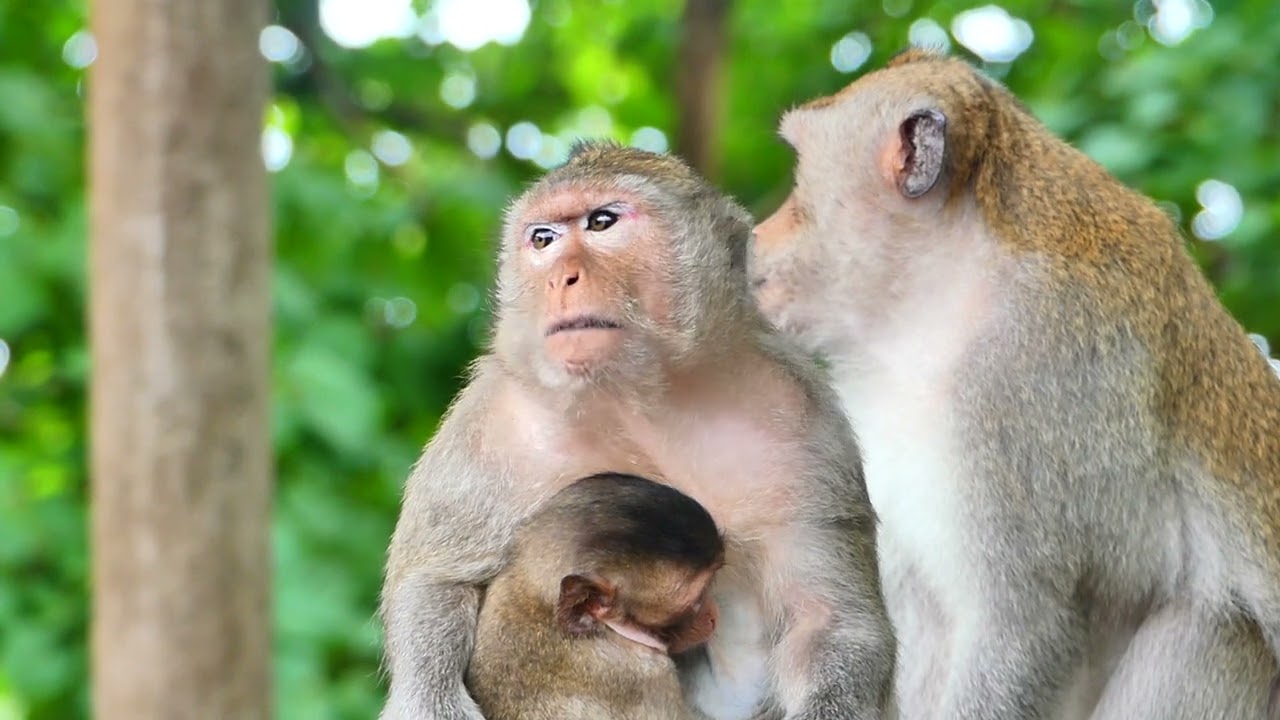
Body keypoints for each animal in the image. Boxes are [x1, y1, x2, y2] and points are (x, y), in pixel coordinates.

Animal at [748, 48, 1280, 720]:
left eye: (798, 175)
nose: (754, 235)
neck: (934, 312)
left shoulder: (1028, 379)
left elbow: (1025, 624)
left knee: (1216, 630)